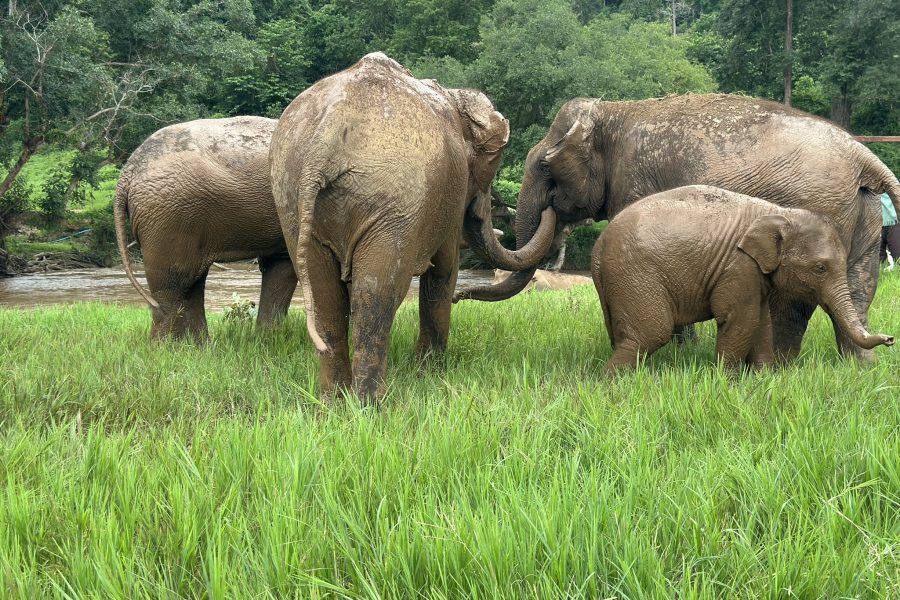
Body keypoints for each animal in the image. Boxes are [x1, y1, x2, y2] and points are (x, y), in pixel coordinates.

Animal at [114, 116, 297, 342]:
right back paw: (165, 347)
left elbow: (280, 262)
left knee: (192, 281)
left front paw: (267, 340)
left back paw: (198, 346)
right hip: (170, 214)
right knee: (176, 281)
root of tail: (128, 171)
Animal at [269, 52, 555, 402]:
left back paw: (334, 401)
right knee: (378, 293)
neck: (452, 94)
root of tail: (328, 134)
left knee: (326, 297)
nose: (552, 203)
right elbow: (444, 271)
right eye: (492, 165)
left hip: (292, 200)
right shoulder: (448, 198)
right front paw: (429, 371)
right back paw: (370, 404)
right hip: (393, 200)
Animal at [593, 185, 895, 372]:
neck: (781, 213)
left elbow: (761, 320)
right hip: (635, 274)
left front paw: (764, 379)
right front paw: (725, 382)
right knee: (651, 332)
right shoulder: (738, 266)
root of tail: (599, 246)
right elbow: (742, 319)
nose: (891, 339)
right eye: (820, 268)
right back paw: (611, 385)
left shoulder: (754, 272)